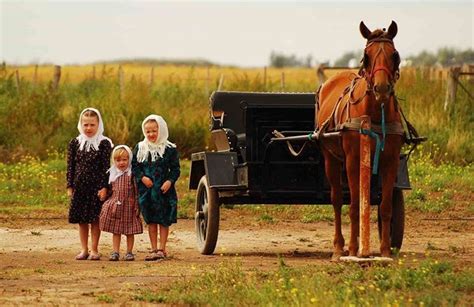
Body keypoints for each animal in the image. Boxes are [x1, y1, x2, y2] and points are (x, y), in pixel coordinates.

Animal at [318, 21, 404, 260]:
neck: (374, 115)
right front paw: (354, 249)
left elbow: (385, 206)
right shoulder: (353, 160)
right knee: (338, 200)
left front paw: (385, 251)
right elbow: (355, 205)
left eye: (395, 55)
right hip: (331, 160)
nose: (381, 88)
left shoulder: (391, 161)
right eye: (366, 56)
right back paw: (340, 247)